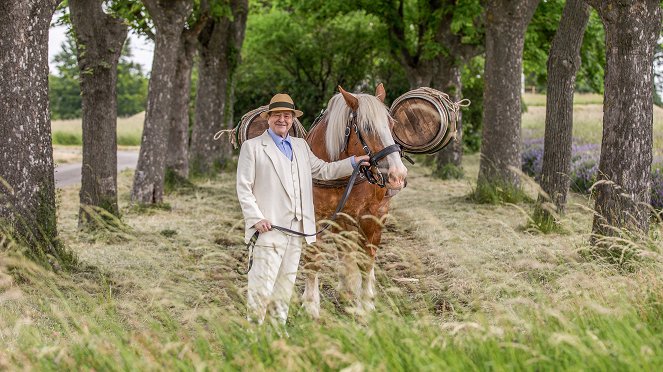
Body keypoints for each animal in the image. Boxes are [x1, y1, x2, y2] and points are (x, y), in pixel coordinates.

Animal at [302, 83, 408, 316]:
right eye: (367, 127)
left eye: (391, 125)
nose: (398, 175)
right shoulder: (316, 217)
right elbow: (314, 259)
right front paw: (311, 305)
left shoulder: (371, 215)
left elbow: (366, 260)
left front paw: (366, 304)